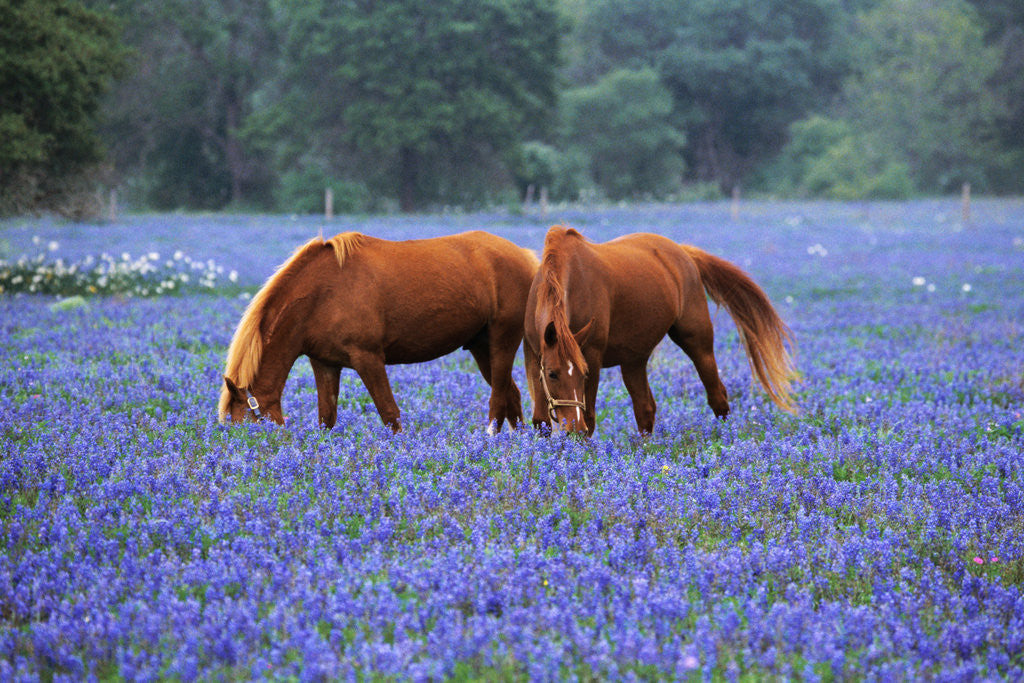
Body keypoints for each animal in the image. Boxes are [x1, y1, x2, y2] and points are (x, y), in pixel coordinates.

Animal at [219, 231, 539, 432]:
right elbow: (327, 418)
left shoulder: (369, 359)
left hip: (503, 341)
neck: (323, 293)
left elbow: (390, 415)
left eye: (247, 425)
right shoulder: (325, 364)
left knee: (498, 400)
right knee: (511, 395)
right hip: (481, 347)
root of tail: (524, 256)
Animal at [523, 225, 797, 435]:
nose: (574, 429)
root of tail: (684, 252)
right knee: (645, 408)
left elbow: (589, 416)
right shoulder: (535, 355)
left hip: (698, 341)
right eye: (552, 374)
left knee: (717, 395)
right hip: (634, 358)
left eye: (585, 374)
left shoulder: (591, 354)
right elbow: (540, 421)